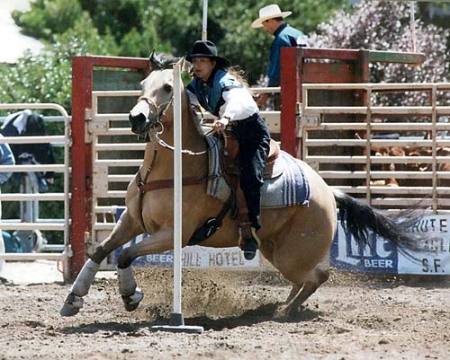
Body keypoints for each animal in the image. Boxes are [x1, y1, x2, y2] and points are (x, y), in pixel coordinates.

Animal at [60, 55, 426, 318]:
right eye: (142, 83)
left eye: (166, 88)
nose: (136, 118)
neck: (172, 168)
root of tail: (327, 191)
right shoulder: (132, 221)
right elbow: (100, 251)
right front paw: (73, 299)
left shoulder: (172, 234)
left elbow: (124, 255)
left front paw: (131, 295)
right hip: (275, 249)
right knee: (304, 279)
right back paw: (283, 306)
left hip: (294, 253)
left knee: (317, 276)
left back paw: (283, 312)